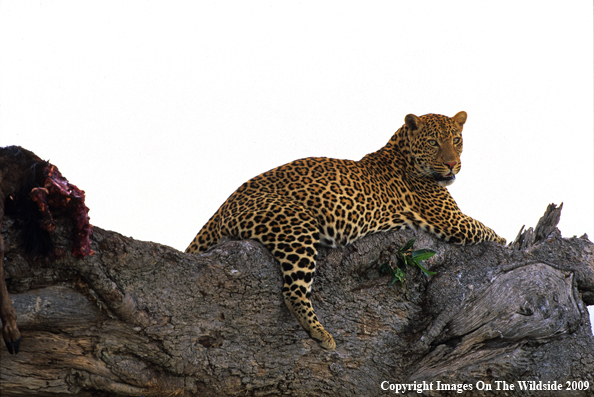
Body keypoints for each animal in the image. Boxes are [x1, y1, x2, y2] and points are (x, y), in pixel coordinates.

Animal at [186, 110, 504, 348]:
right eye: (434, 142)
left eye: (457, 139)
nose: (452, 164)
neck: (402, 152)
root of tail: (224, 205)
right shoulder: (452, 220)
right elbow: (486, 230)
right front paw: (506, 242)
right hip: (295, 225)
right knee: (293, 291)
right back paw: (321, 334)